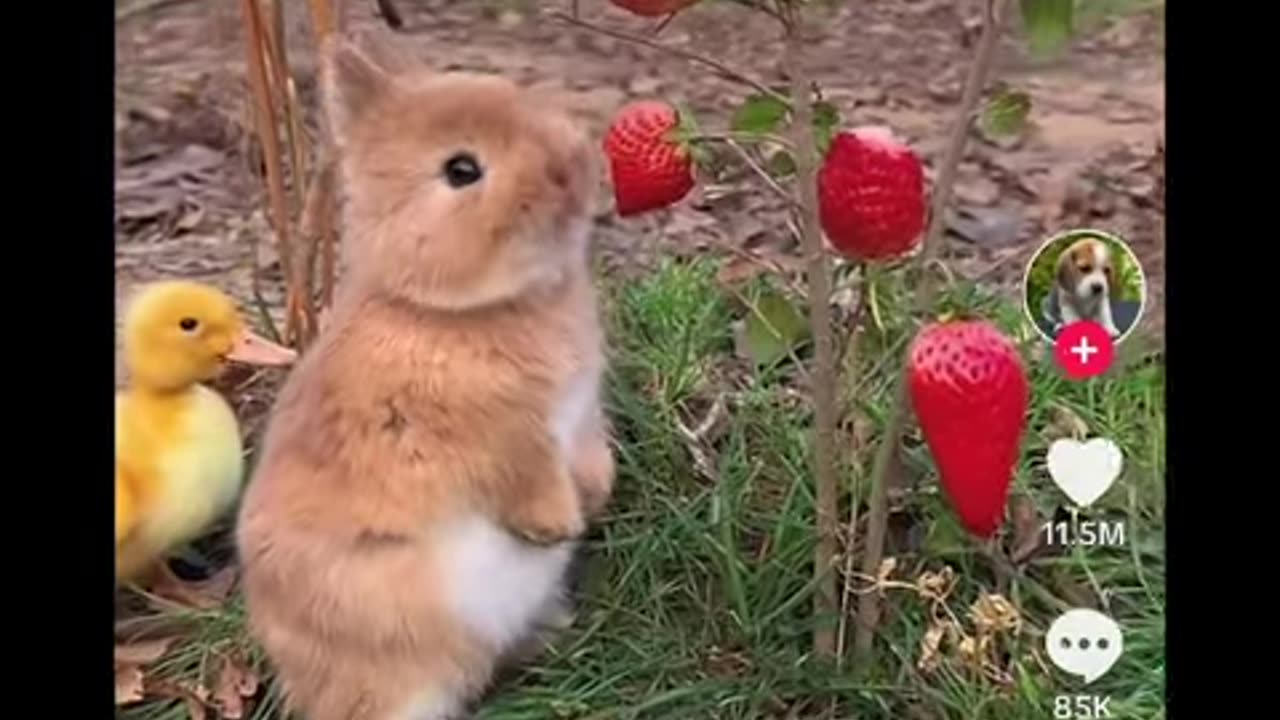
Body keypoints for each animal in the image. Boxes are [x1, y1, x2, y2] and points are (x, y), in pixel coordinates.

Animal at [235, 34, 615, 720]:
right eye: (461, 170)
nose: (571, 174)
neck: (446, 311)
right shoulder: (494, 439)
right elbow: (523, 477)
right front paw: (560, 526)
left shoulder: (578, 418)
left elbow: (590, 455)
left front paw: (596, 496)